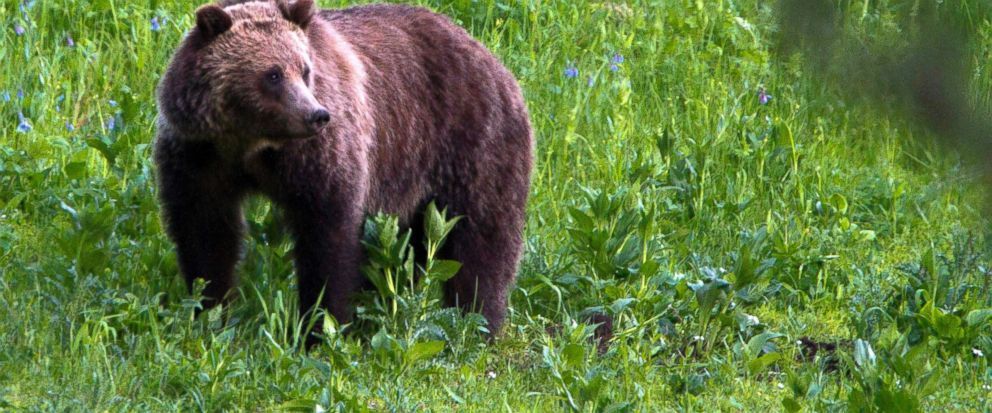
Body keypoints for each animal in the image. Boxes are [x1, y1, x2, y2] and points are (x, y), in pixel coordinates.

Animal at [153, 0, 536, 338]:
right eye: (273, 74)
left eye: (305, 70)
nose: (316, 115)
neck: (251, 144)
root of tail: (493, 58)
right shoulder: (199, 157)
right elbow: (205, 233)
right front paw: (210, 310)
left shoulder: (319, 158)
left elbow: (328, 237)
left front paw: (321, 326)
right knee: (407, 247)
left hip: (470, 144)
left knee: (482, 239)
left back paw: (476, 323)